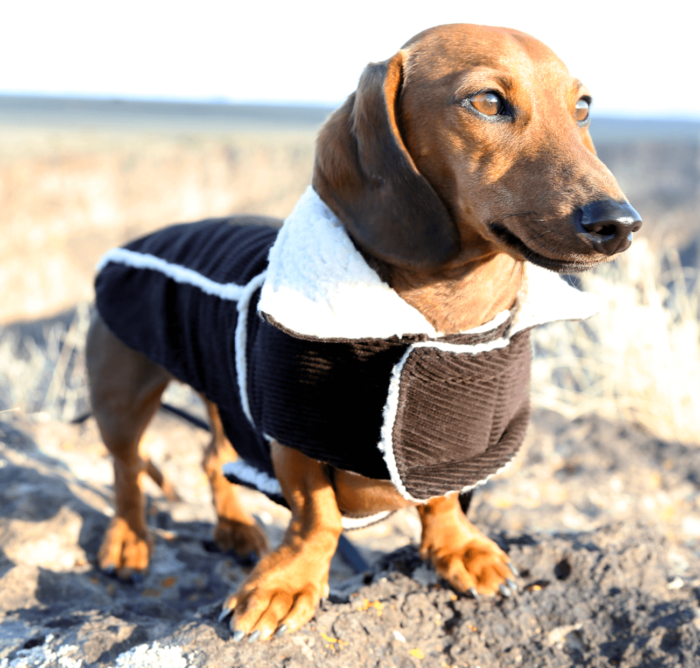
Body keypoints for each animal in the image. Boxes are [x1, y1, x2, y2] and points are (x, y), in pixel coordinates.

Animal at [86, 24, 640, 640]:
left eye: (583, 107)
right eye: (488, 101)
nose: (619, 224)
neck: (444, 325)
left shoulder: (459, 449)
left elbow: (443, 500)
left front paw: (457, 548)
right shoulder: (294, 437)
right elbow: (317, 517)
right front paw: (287, 583)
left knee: (211, 459)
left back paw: (234, 527)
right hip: (121, 393)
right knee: (127, 470)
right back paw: (129, 542)